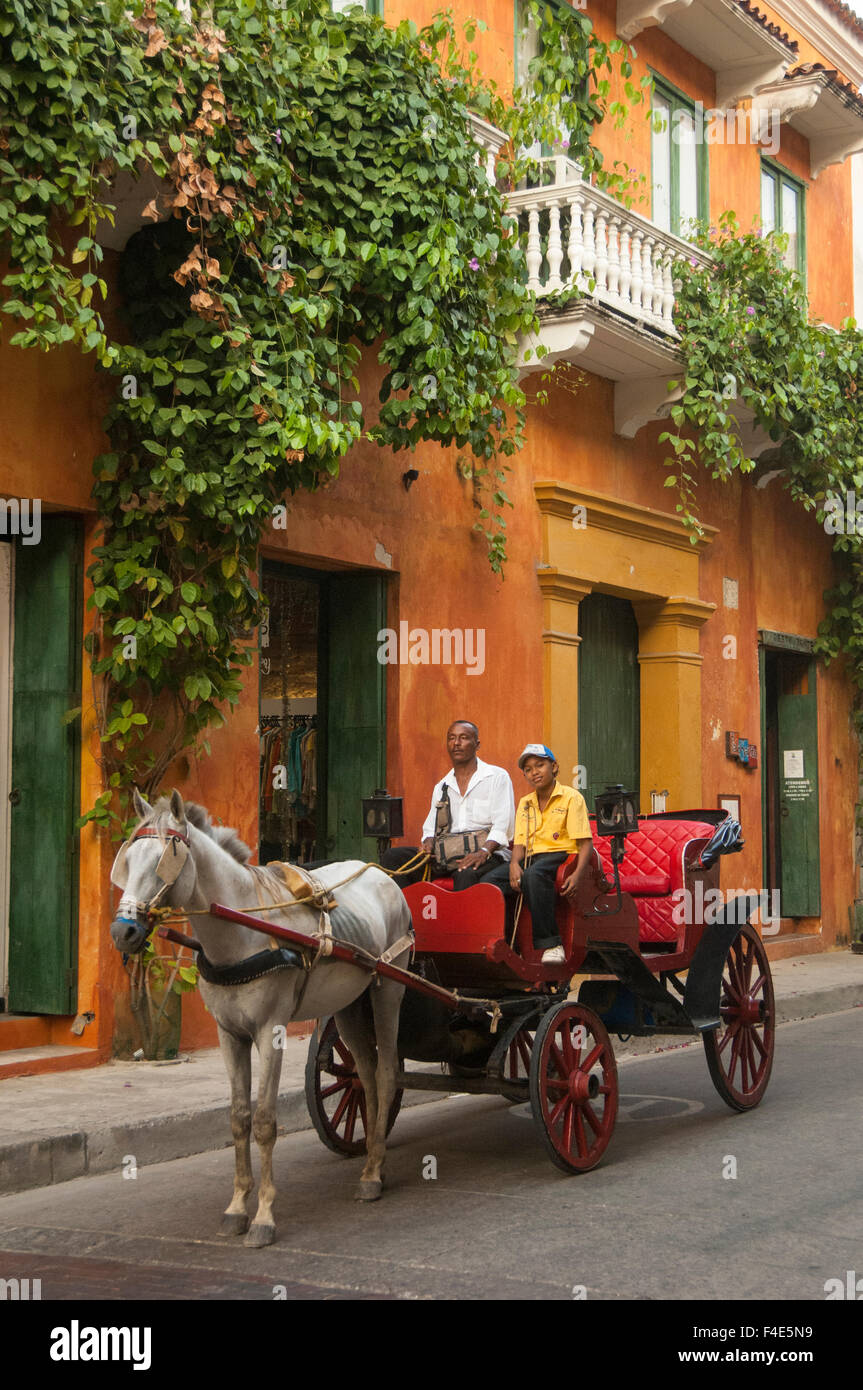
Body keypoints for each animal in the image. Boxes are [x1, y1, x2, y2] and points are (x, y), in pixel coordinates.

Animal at [107, 795, 411, 1251]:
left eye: (165, 860)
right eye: (127, 861)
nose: (122, 932)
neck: (242, 933)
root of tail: (382, 875)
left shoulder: (272, 1031)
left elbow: (265, 1122)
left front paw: (264, 1217)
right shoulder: (229, 1033)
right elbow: (238, 1118)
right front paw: (236, 1209)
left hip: (388, 988)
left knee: (389, 1072)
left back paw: (373, 1173)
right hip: (348, 1002)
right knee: (367, 1076)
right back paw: (374, 1162)